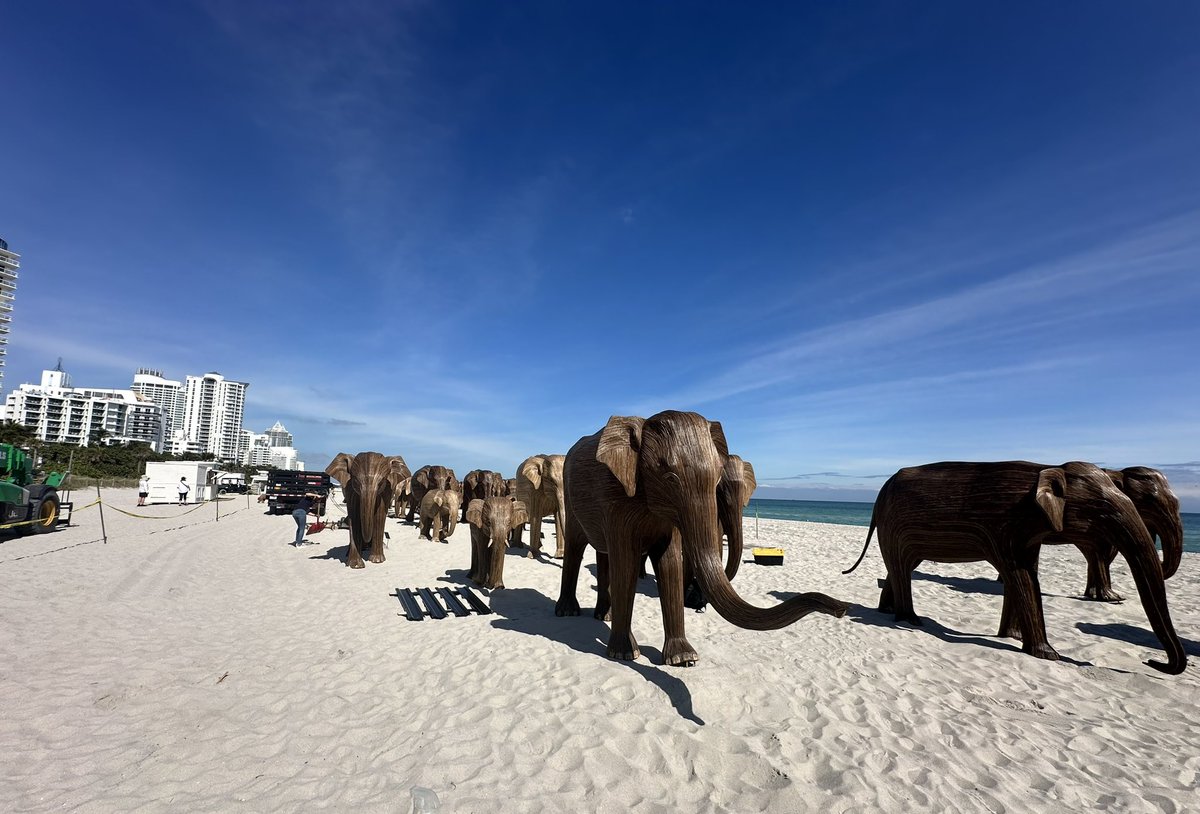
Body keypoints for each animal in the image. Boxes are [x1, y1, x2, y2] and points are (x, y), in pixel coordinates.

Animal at [556, 410, 850, 667]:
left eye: (716, 478)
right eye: (670, 478)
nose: (842, 608)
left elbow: (669, 564)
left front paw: (684, 659)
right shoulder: (617, 498)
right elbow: (626, 563)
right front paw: (624, 655)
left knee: (603, 554)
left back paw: (603, 616)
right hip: (570, 497)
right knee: (577, 549)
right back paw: (568, 613)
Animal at [843, 461, 1186, 674]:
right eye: (1103, 511)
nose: (1152, 662)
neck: (1045, 468)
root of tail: (880, 492)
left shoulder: (1025, 531)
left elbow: (1022, 576)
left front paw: (1011, 637)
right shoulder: (1005, 527)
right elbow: (1021, 577)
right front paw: (1048, 654)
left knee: (899, 567)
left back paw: (890, 612)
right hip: (894, 525)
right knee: (901, 567)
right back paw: (911, 620)